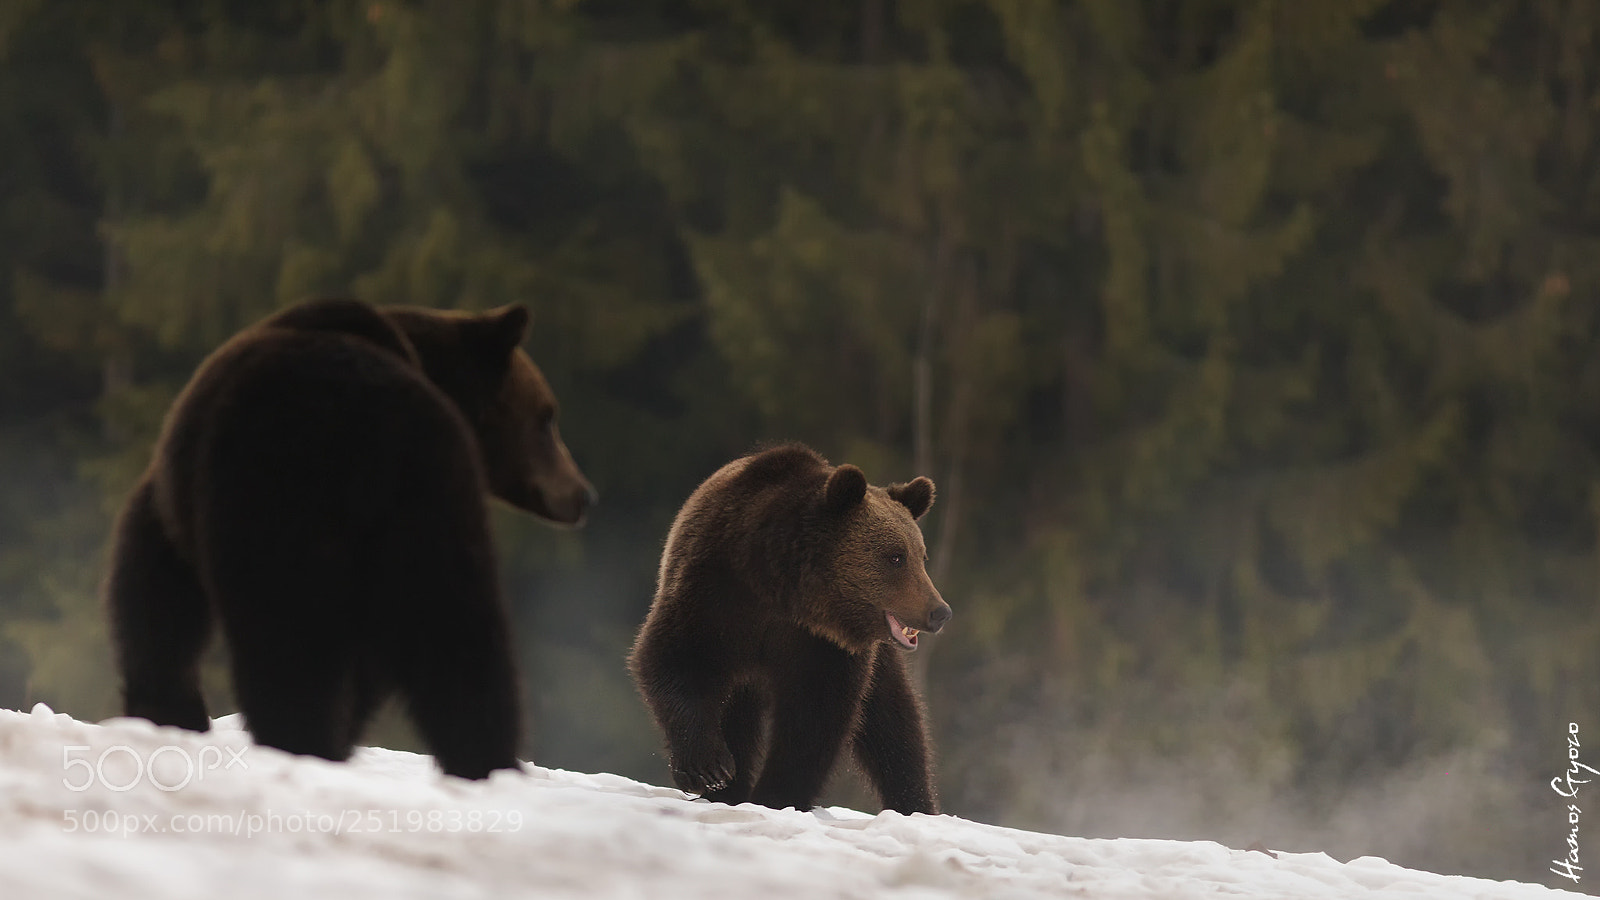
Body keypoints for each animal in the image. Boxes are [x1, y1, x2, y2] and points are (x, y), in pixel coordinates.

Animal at [105, 297, 595, 780]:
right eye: (547, 419)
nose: (583, 494)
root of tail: (379, 429)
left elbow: (155, 585)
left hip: (288, 504)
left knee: (288, 641)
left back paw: (301, 744)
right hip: (429, 505)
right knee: (463, 641)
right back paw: (485, 763)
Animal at [628, 443, 951, 814]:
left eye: (921, 556)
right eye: (896, 557)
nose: (940, 612)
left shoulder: (820, 645)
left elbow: (815, 717)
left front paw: (775, 796)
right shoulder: (713, 591)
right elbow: (675, 659)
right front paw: (708, 768)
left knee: (895, 722)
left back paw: (915, 803)